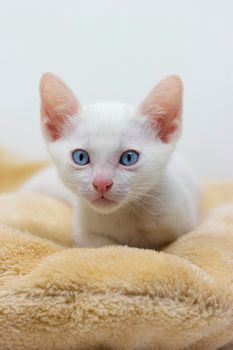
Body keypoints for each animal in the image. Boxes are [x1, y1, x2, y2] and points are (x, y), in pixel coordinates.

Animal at [22, 73, 200, 249]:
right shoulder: (84, 233)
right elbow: (106, 246)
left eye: (129, 158)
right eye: (81, 157)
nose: (101, 183)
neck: (124, 214)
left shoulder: (185, 225)